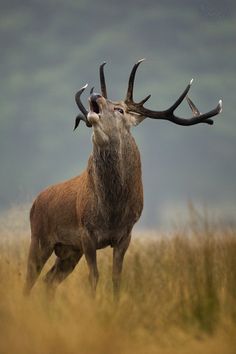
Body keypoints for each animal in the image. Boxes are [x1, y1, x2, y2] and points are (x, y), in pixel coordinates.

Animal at [23, 59, 221, 300]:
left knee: (48, 281)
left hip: (69, 250)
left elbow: (116, 278)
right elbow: (94, 276)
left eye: (120, 109)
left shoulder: (125, 234)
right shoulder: (86, 233)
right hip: (39, 238)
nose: (95, 94)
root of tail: (35, 203)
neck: (112, 211)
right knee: (29, 281)